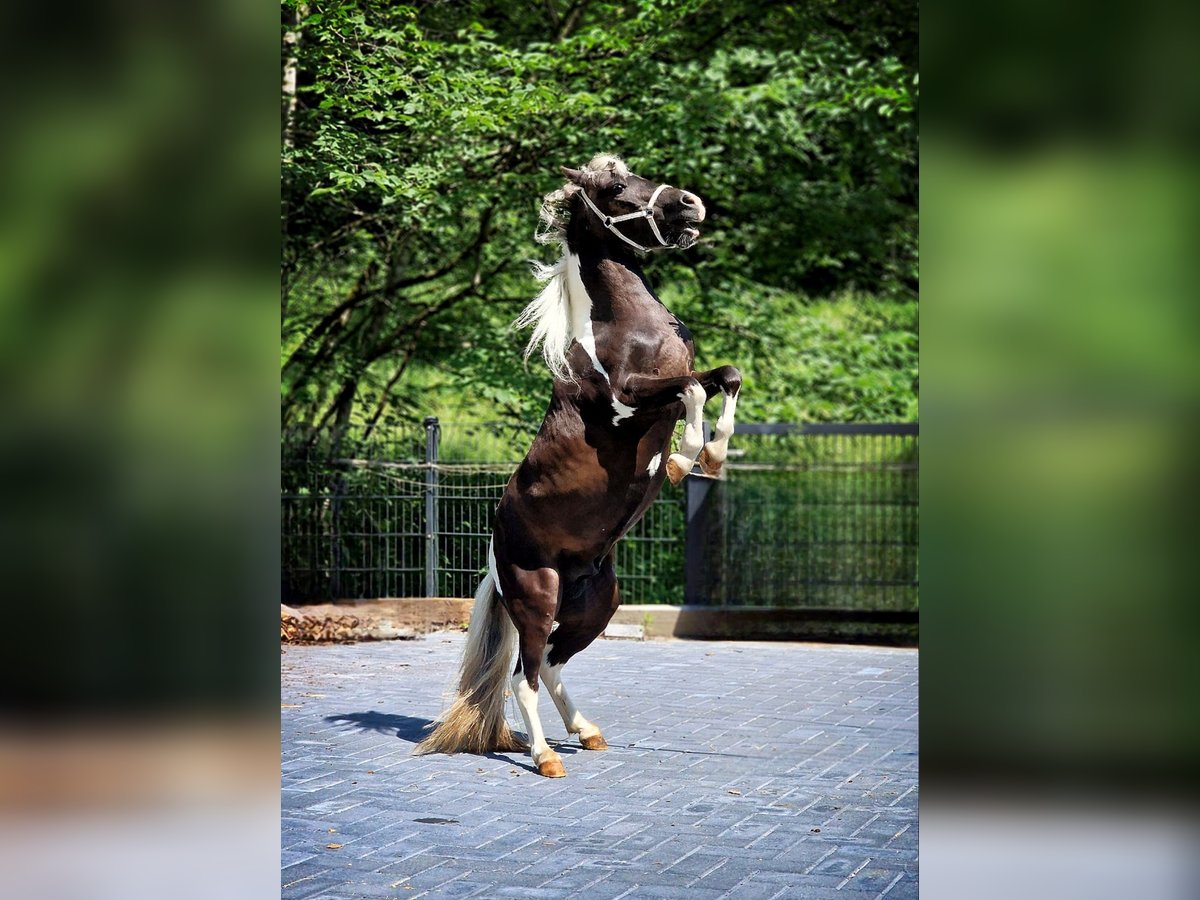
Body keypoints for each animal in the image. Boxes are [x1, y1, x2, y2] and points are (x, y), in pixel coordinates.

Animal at [420, 154, 739, 777]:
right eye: (616, 186)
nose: (691, 204)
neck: (626, 328)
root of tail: (495, 554)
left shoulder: (678, 382)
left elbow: (724, 376)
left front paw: (712, 455)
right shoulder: (627, 400)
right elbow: (691, 390)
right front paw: (684, 460)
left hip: (597, 605)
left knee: (549, 665)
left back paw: (586, 732)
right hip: (536, 598)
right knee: (523, 675)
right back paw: (545, 756)